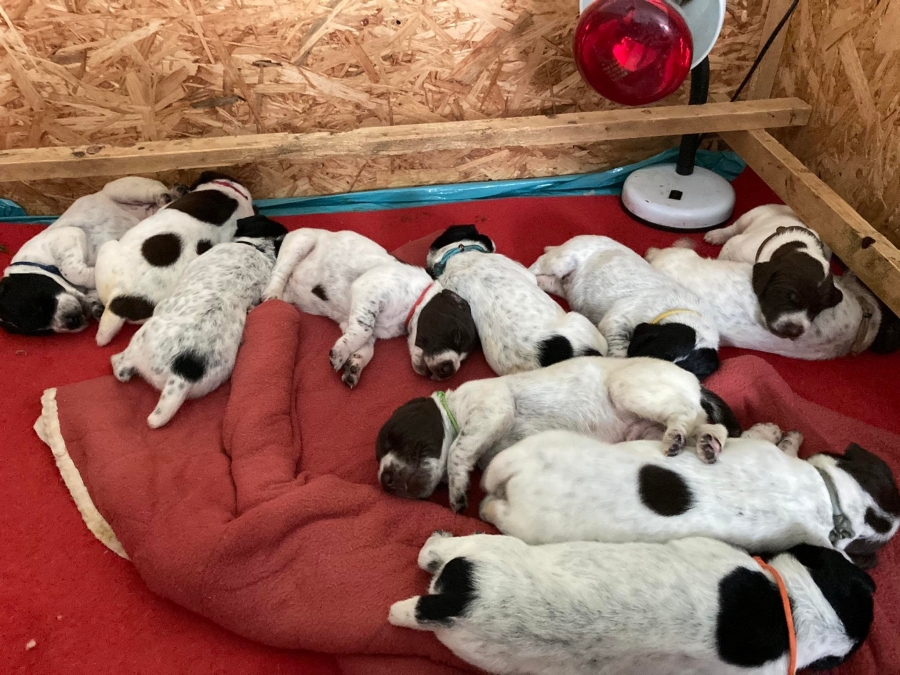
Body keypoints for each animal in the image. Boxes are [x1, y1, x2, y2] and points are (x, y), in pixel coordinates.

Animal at [0, 177, 184, 335]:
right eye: (45, 331)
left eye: (41, 306)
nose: (71, 323)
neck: (34, 261)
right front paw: (96, 306)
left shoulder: (69, 235)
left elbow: (72, 271)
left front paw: (92, 274)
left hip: (121, 188)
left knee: (153, 188)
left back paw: (170, 194)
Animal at [262, 228, 478, 388]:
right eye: (457, 335)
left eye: (464, 360)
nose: (450, 370)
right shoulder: (368, 291)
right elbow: (363, 332)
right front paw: (340, 355)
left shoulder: (353, 320)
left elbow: (364, 346)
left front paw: (354, 365)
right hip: (301, 242)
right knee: (279, 272)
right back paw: (271, 294)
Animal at [376, 356, 741, 513]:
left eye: (394, 438)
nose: (384, 481)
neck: (454, 406)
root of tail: (696, 382)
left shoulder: (492, 407)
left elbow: (457, 451)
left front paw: (457, 491)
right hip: (651, 422)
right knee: (711, 425)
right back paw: (708, 444)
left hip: (630, 388)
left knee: (686, 416)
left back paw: (677, 437)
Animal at [529, 235, 720, 379]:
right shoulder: (616, 321)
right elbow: (619, 347)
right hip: (562, 260)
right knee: (537, 266)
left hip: (562, 284)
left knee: (548, 281)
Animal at [705, 205, 842, 339]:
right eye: (788, 297)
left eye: (817, 309)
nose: (793, 332)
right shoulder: (734, 246)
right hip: (750, 216)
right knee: (734, 227)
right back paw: (717, 234)